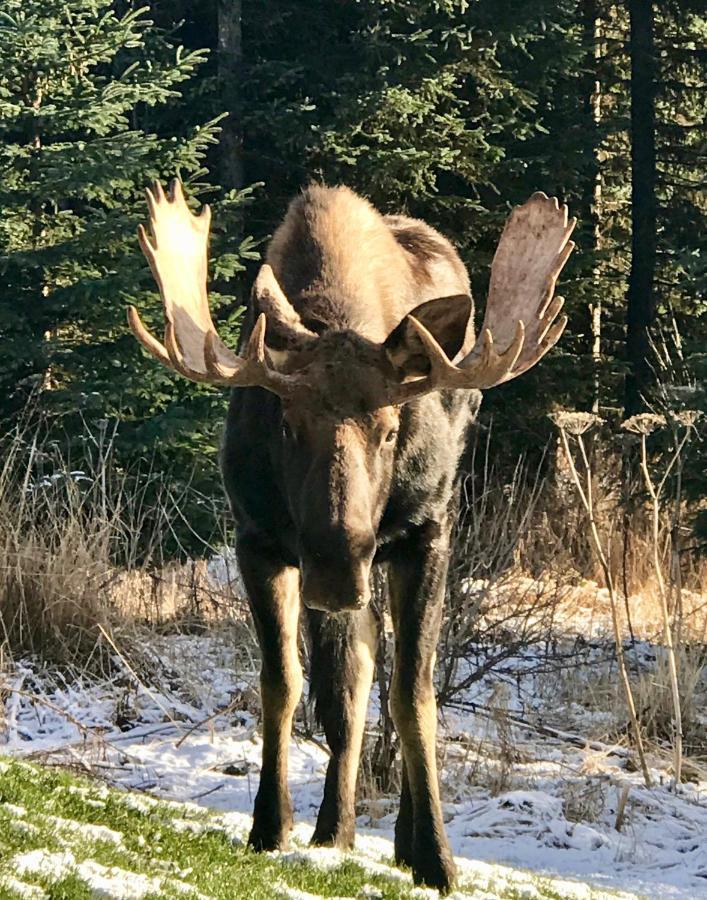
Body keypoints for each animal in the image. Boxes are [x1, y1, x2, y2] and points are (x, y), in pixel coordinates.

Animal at [129, 179, 576, 888]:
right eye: (286, 423)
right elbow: (287, 685)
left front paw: (437, 858)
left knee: (384, 677)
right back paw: (333, 828)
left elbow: (415, 695)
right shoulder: (257, 539)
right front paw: (270, 825)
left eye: (392, 428)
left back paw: (402, 838)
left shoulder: (427, 535)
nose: (339, 567)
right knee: (352, 680)